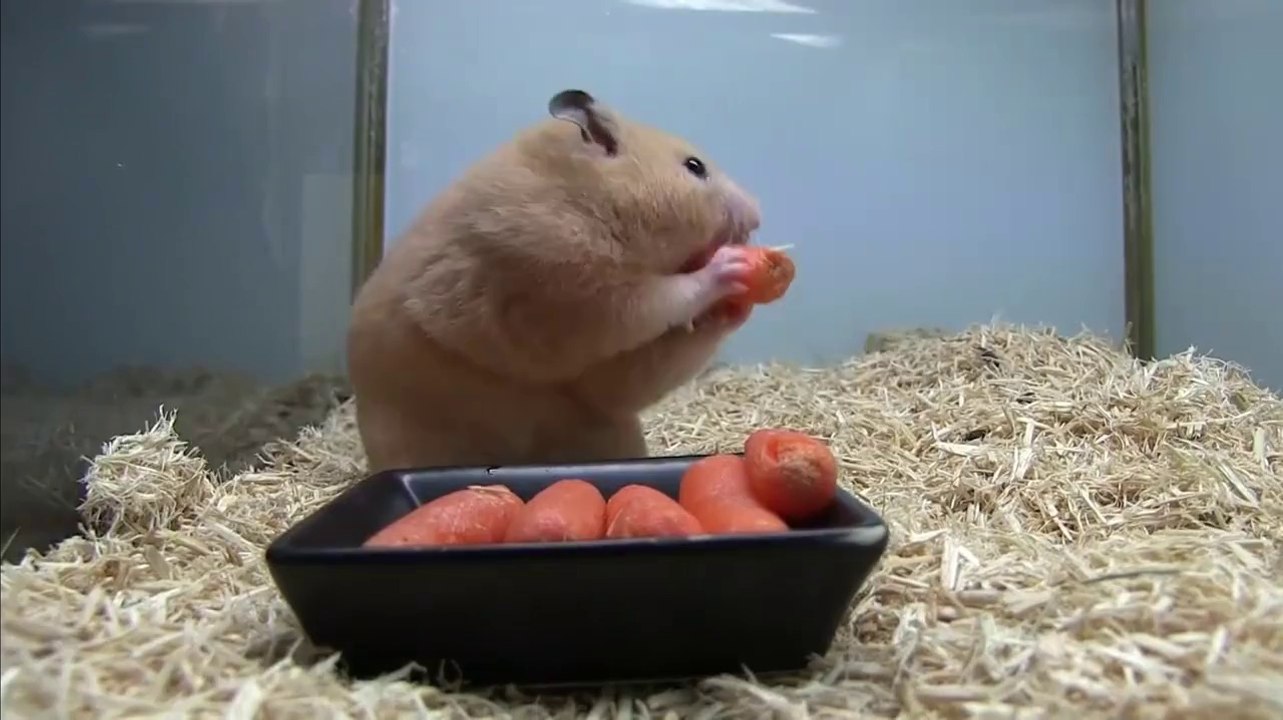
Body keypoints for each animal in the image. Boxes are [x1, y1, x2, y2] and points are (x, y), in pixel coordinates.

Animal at [347, 89, 763, 472]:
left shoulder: (598, 383)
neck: (592, 200)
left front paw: (733, 310)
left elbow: (630, 379)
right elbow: (664, 297)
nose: (758, 215)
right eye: (695, 166)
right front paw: (730, 267)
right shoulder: (579, 295)